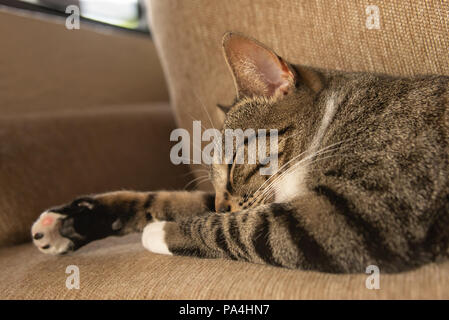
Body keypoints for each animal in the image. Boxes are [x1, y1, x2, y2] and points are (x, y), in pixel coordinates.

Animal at [29, 31, 446, 272]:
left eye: (232, 168)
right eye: (215, 182)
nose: (220, 205)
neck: (335, 119)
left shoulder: (360, 212)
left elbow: (237, 229)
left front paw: (158, 232)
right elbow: (170, 200)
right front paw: (74, 221)